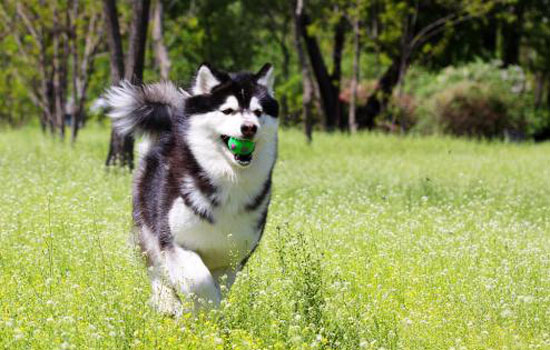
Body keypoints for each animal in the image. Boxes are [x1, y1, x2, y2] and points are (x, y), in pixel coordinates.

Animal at [106, 63, 280, 314]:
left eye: (258, 112)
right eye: (228, 110)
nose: (249, 128)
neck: (230, 181)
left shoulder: (232, 258)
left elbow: (218, 285)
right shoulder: (175, 242)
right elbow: (199, 282)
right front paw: (199, 311)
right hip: (147, 226)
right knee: (155, 269)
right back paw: (166, 302)